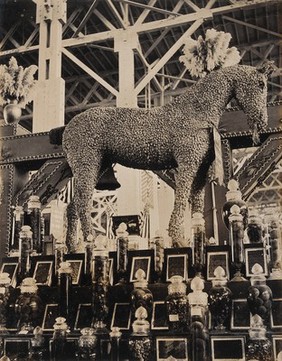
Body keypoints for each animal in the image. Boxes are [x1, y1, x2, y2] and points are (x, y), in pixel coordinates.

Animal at [61, 63, 274, 246]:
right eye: (261, 84)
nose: (262, 121)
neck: (197, 111)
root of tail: (67, 129)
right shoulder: (187, 162)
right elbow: (181, 197)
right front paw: (177, 238)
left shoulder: (201, 168)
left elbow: (197, 202)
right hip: (87, 164)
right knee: (83, 201)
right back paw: (89, 240)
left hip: (97, 166)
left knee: (73, 205)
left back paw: (73, 247)